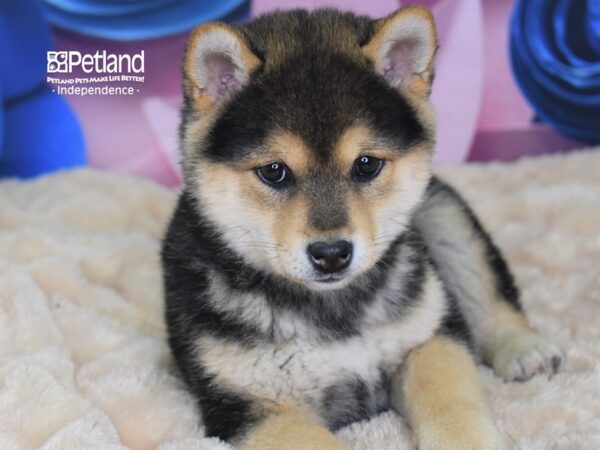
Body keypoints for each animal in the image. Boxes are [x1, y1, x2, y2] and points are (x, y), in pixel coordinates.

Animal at [162, 5, 564, 448]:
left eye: (367, 164)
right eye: (273, 171)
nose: (331, 254)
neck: (335, 312)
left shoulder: (427, 341)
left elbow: (450, 401)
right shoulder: (251, 404)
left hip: (443, 216)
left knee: (485, 289)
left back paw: (523, 348)